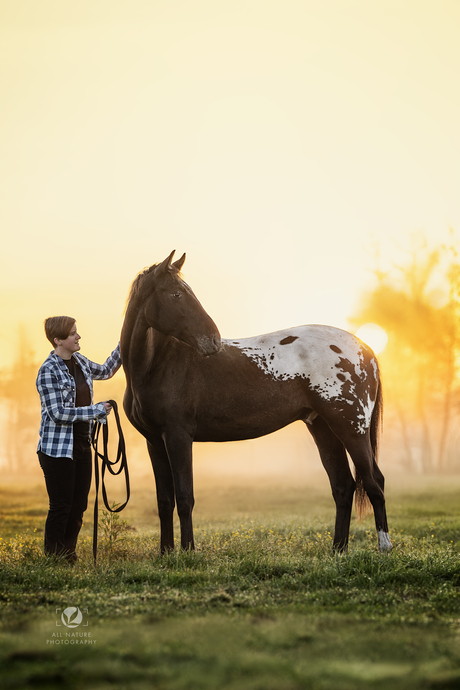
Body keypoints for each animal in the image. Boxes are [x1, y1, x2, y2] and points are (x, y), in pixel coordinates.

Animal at [120, 250, 390, 552]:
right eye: (176, 294)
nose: (213, 341)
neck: (156, 365)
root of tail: (365, 349)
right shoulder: (155, 441)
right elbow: (165, 502)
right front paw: (166, 553)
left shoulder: (178, 436)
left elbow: (185, 498)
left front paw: (188, 552)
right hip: (322, 427)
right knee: (344, 486)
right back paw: (337, 551)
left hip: (351, 428)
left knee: (374, 482)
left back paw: (384, 547)